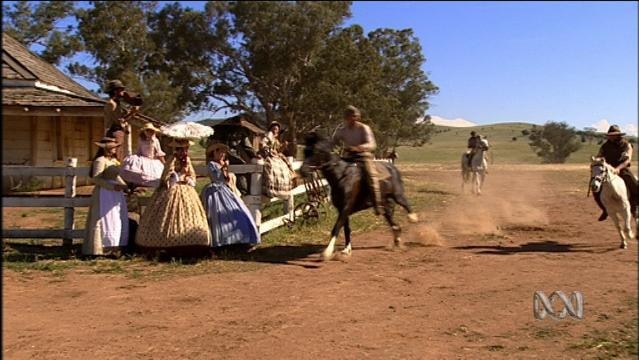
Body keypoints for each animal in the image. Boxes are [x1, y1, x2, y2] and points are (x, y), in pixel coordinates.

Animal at [302, 131, 420, 260]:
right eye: (305, 151)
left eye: (317, 151)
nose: (302, 170)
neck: (341, 177)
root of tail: (393, 168)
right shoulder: (342, 210)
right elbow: (346, 229)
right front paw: (346, 250)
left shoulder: (346, 208)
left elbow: (336, 228)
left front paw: (327, 252)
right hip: (386, 206)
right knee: (394, 224)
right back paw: (397, 242)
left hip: (397, 195)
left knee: (405, 204)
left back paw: (413, 218)